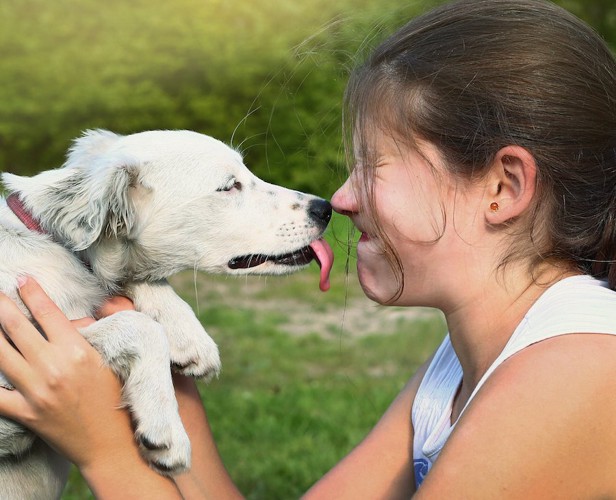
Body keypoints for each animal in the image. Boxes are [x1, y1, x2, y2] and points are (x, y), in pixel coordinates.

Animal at [0, 130, 332, 500]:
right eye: (229, 186)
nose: (326, 209)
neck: (56, 243)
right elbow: (141, 326)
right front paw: (166, 430)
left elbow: (141, 284)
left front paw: (189, 337)